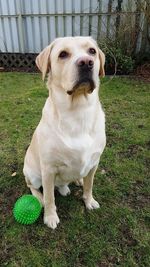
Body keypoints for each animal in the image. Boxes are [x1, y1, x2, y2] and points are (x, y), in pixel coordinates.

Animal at [23, 36, 105, 230]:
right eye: (63, 54)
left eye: (92, 51)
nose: (86, 63)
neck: (78, 113)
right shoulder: (48, 169)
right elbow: (50, 197)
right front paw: (50, 217)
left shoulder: (94, 162)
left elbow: (89, 185)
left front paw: (89, 201)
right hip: (33, 174)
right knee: (33, 186)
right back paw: (40, 198)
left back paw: (73, 183)